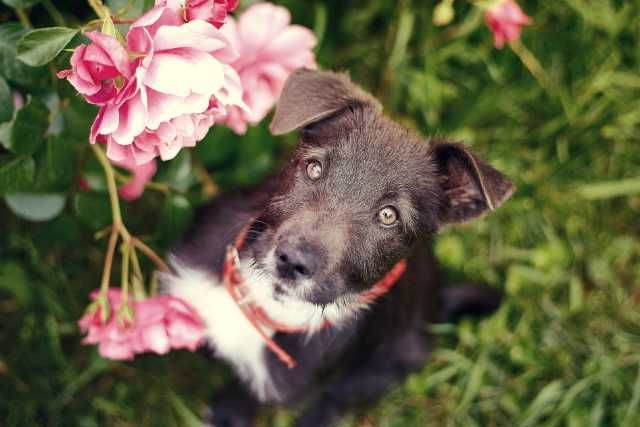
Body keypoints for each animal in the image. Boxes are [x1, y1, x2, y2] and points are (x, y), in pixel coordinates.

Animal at [165, 69, 516, 427]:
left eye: (388, 216)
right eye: (314, 168)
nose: (292, 262)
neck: (269, 305)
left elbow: (242, 399)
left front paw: (225, 413)